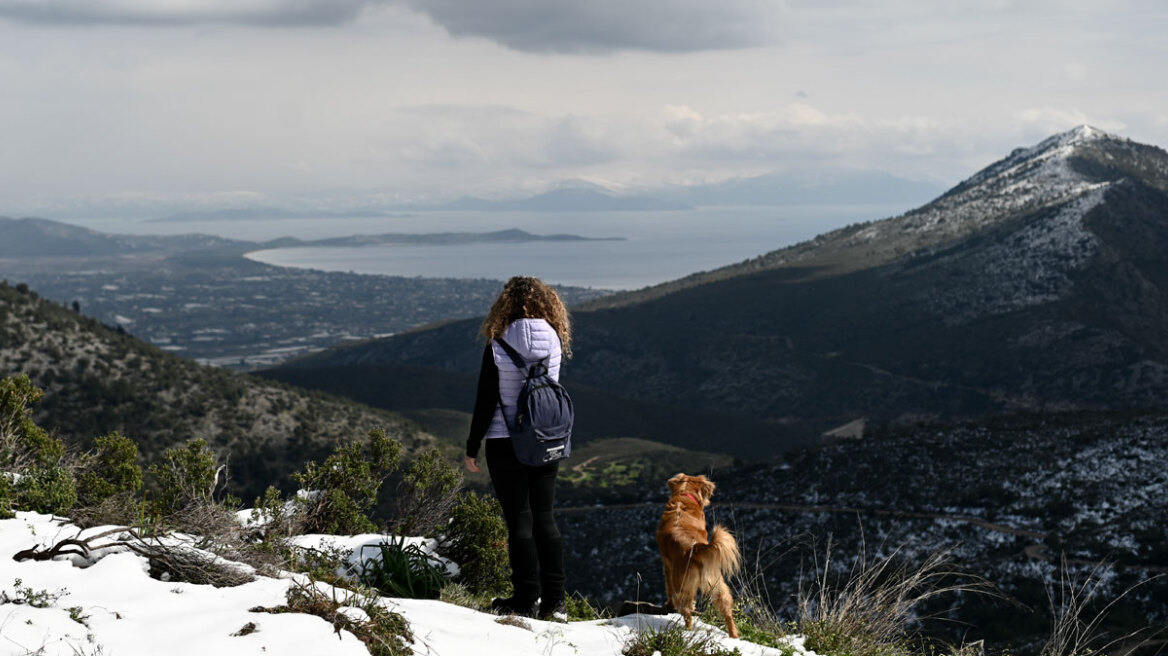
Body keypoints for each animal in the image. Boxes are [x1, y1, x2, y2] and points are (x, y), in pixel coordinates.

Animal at [658, 471, 738, 634]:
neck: (685, 497)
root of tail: (693, 549)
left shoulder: (667, 564)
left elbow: (668, 586)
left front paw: (668, 604)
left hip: (681, 585)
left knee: (685, 609)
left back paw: (687, 630)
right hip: (716, 582)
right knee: (726, 607)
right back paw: (734, 635)